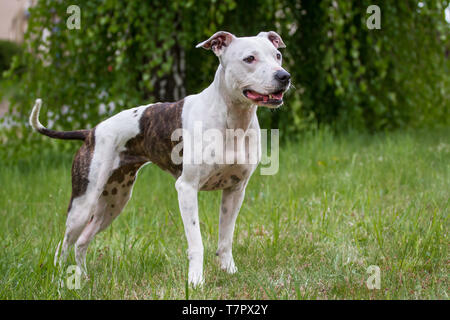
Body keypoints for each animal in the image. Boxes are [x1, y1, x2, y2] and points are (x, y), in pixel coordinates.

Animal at [29, 30, 292, 286]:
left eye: (277, 55)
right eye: (249, 58)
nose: (284, 76)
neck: (233, 119)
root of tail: (91, 132)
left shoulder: (235, 190)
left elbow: (226, 239)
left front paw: (229, 271)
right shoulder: (186, 189)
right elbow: (196, 243)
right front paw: (195, 281)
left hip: (114, 202)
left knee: (82, 241)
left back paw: (81, 277)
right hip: (83, 204)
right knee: (64, 245)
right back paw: (59, 278)